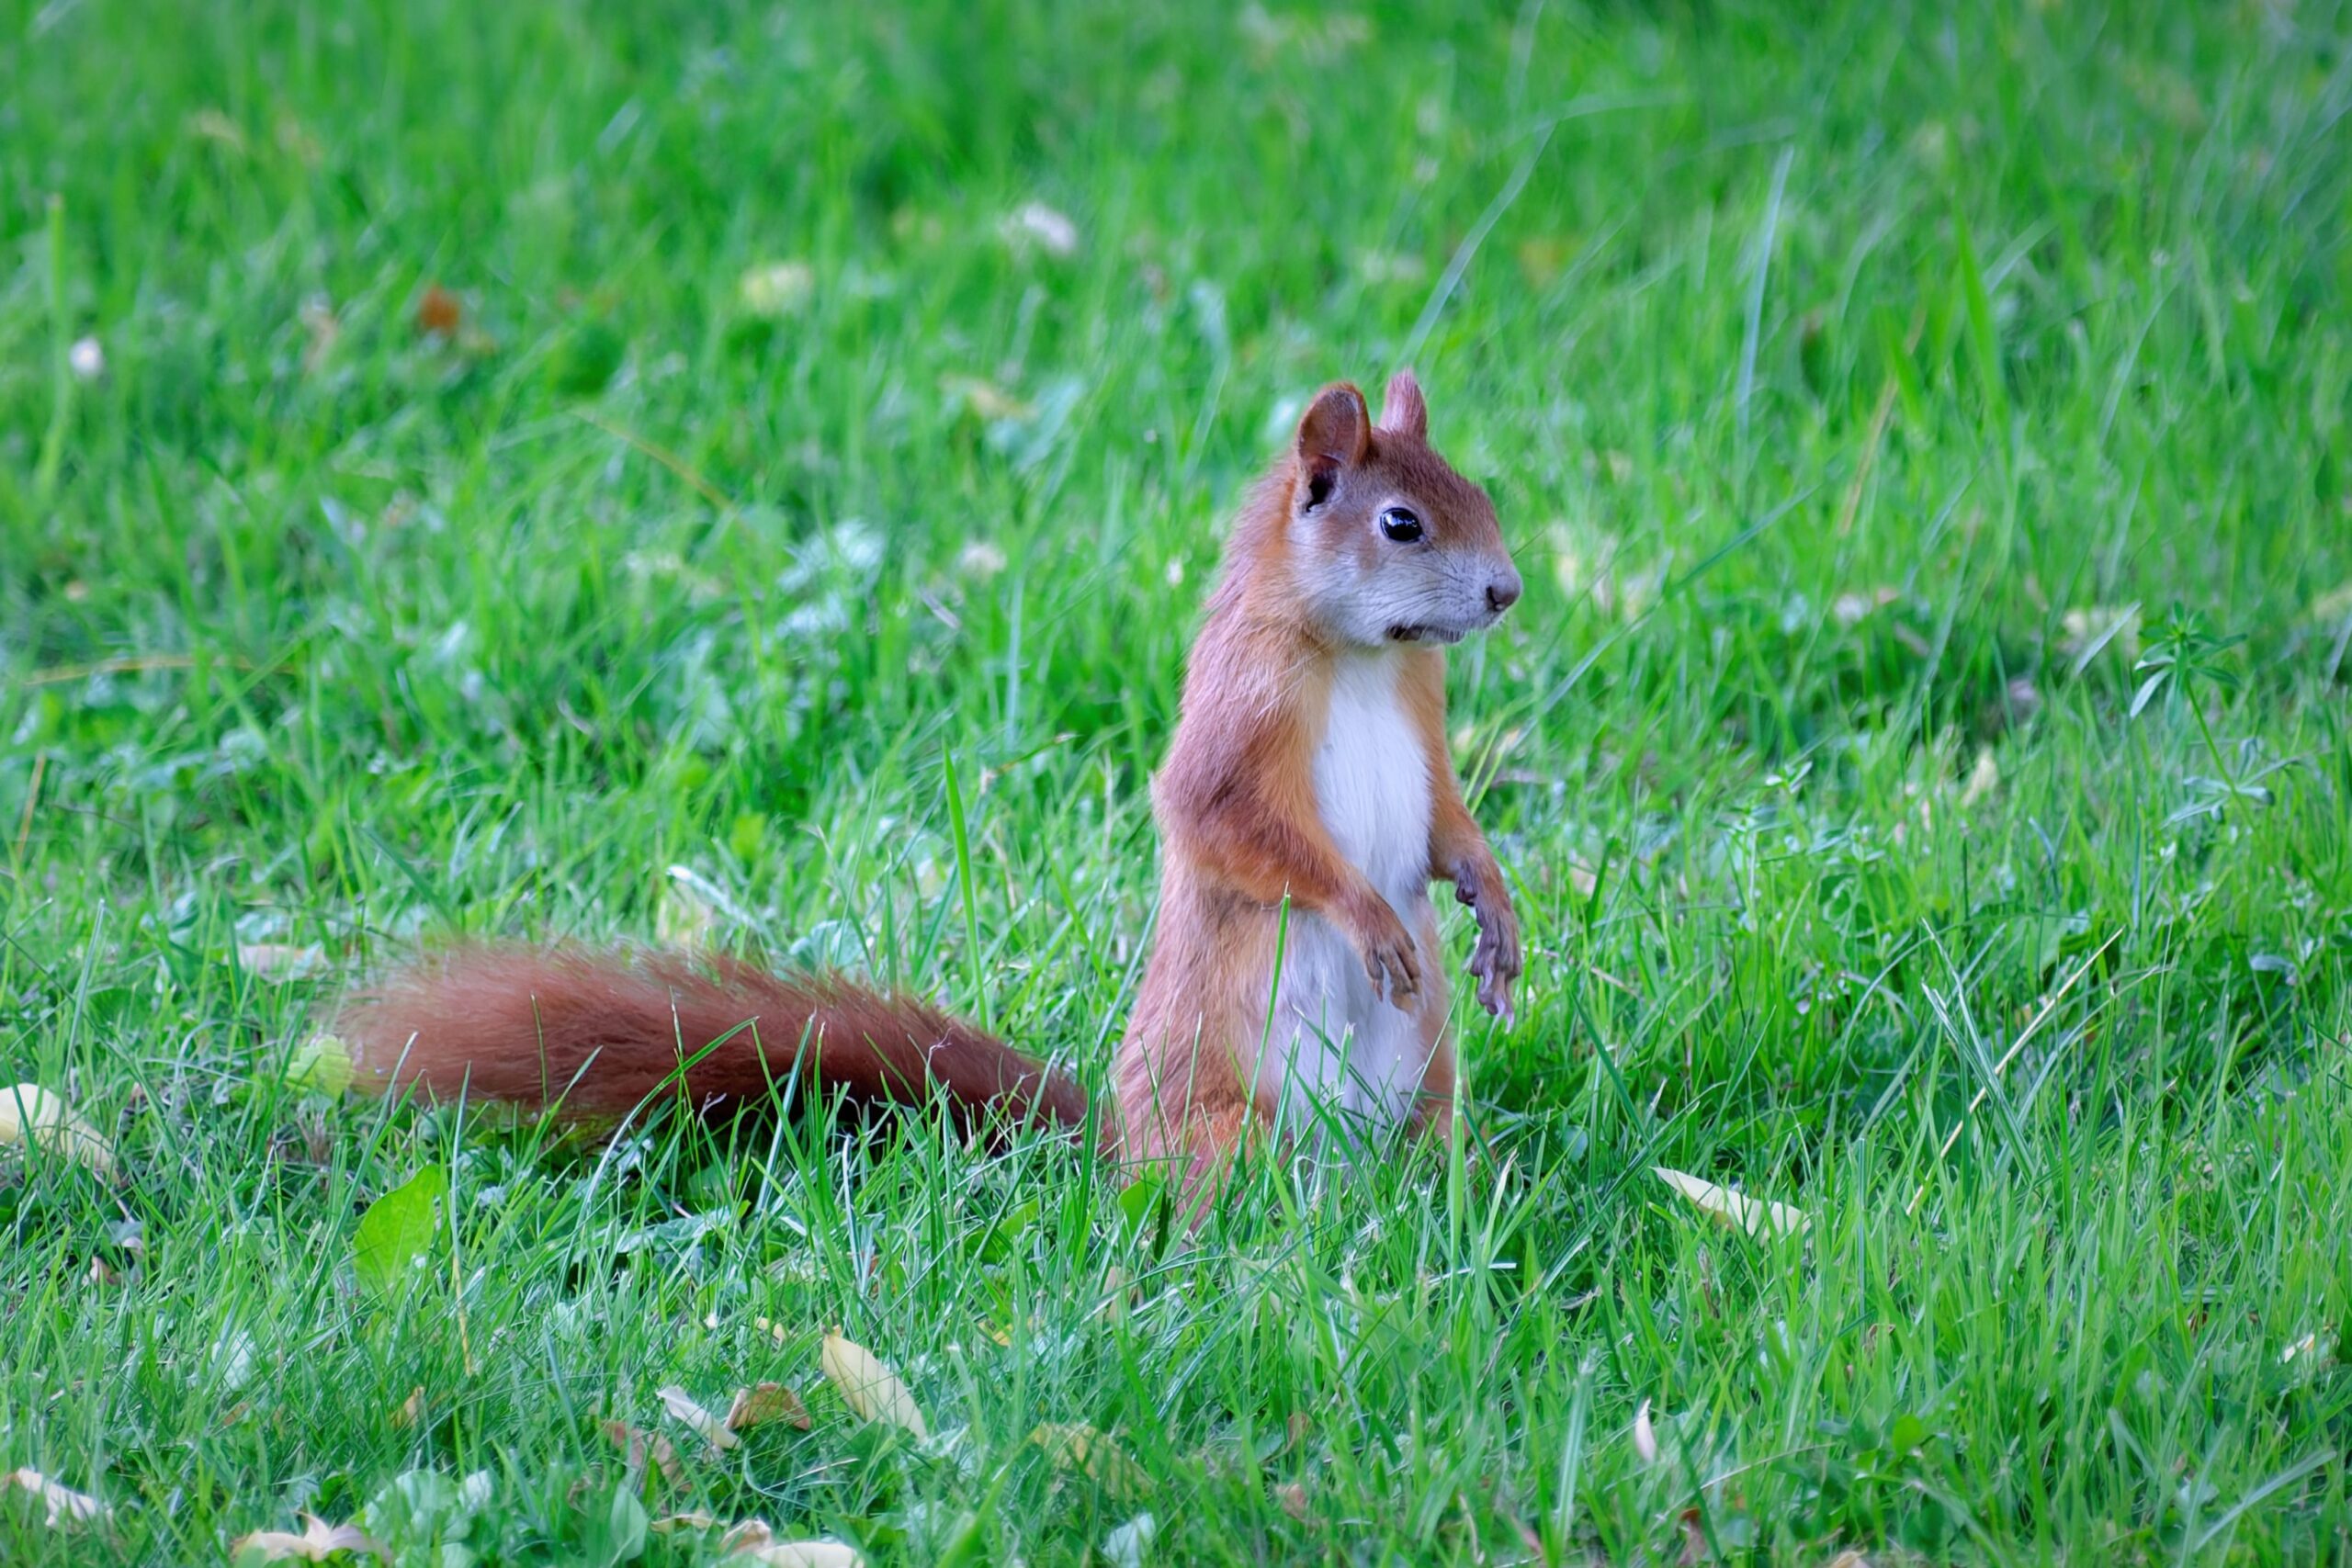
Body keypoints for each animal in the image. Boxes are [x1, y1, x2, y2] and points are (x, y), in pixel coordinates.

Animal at [338, 371, 1523, 1197]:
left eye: (1480, 493)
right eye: (1401, 524)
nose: (1507, 592)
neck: (1359, 660)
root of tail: (1117, 1149)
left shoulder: (1422, 718)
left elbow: (1444, 823)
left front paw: (1494, 906)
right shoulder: (1239, 720)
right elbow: (1234, 827)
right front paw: (1369, 918)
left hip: (1431, 1092)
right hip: (1224, 1123)